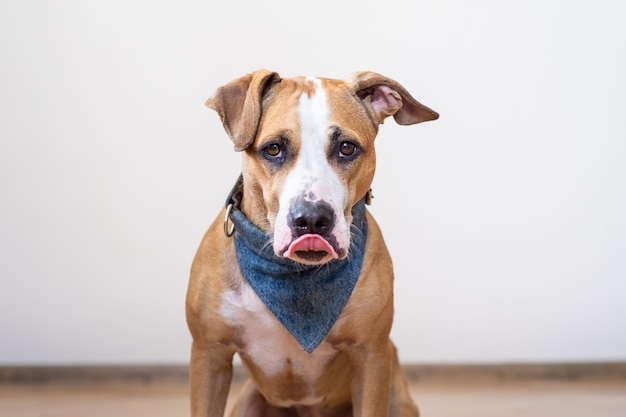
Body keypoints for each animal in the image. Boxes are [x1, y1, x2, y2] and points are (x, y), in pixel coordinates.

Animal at [188, 70, 436, 414]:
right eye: (273, 149)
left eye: (346, 148)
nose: (312, 219)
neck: (290, 279)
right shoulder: (209, 355)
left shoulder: (371, 357)